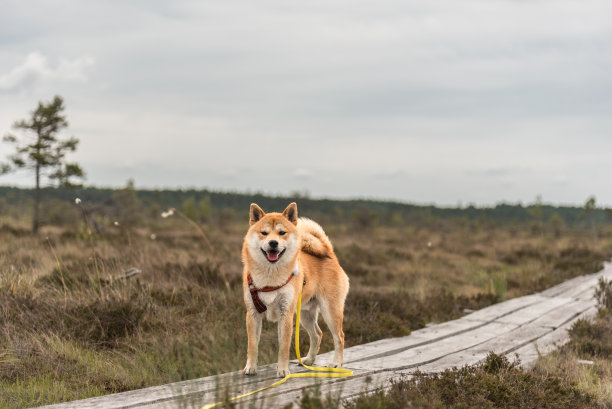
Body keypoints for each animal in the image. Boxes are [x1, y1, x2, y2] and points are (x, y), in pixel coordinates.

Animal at [243, 201, 352, 376]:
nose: (273, 243)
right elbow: (252, 345)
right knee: (317, 334)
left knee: (339, 337)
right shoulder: (253, 314)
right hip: (306, 314)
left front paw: (282, 370)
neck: (270, 276)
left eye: (282, 233)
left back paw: (336, 363)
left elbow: (284, 347)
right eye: (264, 233)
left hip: (330, 311)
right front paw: (250, 367)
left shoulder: (285, 314)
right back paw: (309, 360)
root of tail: (331, 255)